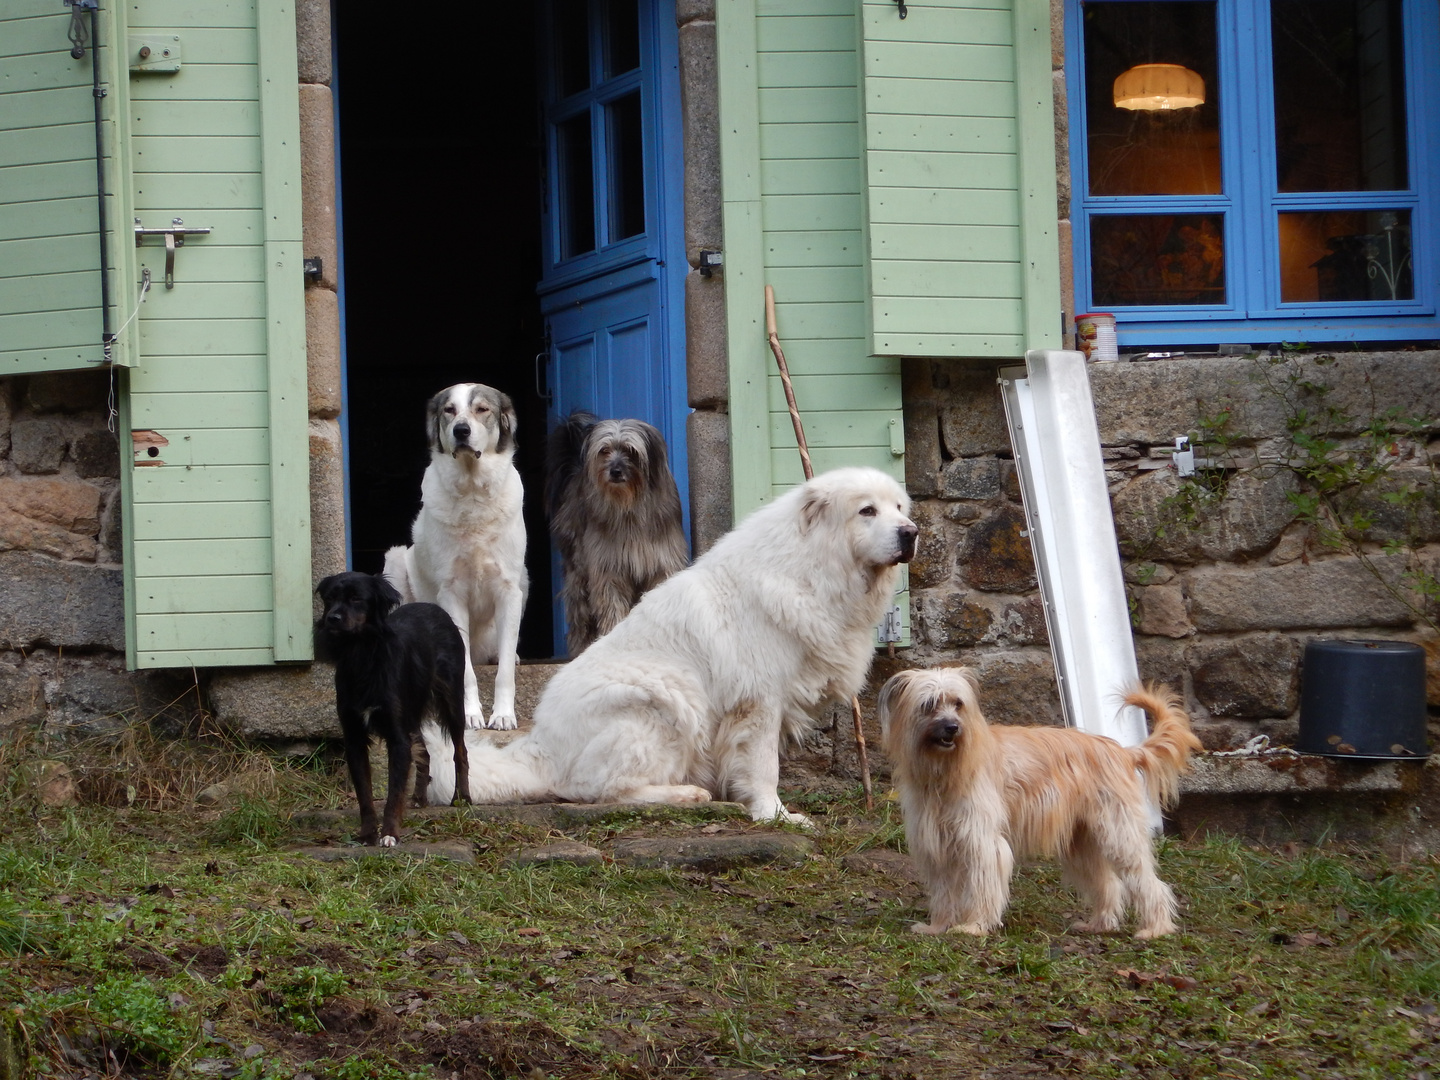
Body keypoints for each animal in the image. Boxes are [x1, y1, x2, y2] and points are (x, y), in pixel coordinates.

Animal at [315, 570, 472, 852]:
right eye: (330, 598)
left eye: (356, 598)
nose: (332, 618)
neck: (361, 654)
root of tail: (434, 608)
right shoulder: (355, 738)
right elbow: (365, 794)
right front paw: (367, 834)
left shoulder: (397, 738)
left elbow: (394, 791)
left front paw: (389, 834)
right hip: (411, 714)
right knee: (425, 753)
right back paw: (420, 797)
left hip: (452, 701)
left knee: (461, 752)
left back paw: (462, 797)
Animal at [385, 385, 532, 731]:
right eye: (449, 411)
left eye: (481, 409)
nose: (461, 430)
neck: (473, 491)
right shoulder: (451, 595)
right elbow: (464, 672)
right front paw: (469, 714)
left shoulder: (509, 590)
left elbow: (505, 672)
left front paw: (503, 714)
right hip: (395, 562)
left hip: (524, 580)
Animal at [420, 466, 915, 829]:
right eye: (866, 511)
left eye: (898, 507)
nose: (911, 532)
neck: (812, 568)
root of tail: (542, 745)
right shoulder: (759, 702)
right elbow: (764, 767)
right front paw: (774, 816)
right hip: (668, 697)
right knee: (593, 790)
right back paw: (687, 794)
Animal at [544, 408, 691, 656]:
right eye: (604, 450)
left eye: (631, 451)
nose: (614, 472)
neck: (629, 507)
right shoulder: (609, 569)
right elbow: (611, 606)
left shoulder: (661, 562)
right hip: (578, 571)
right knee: (579, 613)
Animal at [875, 673, 1203, 944]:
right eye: (929, 704)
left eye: (958, 703)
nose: (952, 728)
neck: (944, 772)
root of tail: (1123, 752)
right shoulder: (937, 846)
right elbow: (943, 893)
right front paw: (937, 927)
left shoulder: (981, 842)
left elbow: (982, 886)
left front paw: (974, 926)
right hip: (1082, 845)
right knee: (1108, 885)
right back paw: (1099, 924)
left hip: (1119, 836)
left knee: (1149, 883)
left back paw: (1155, 928)